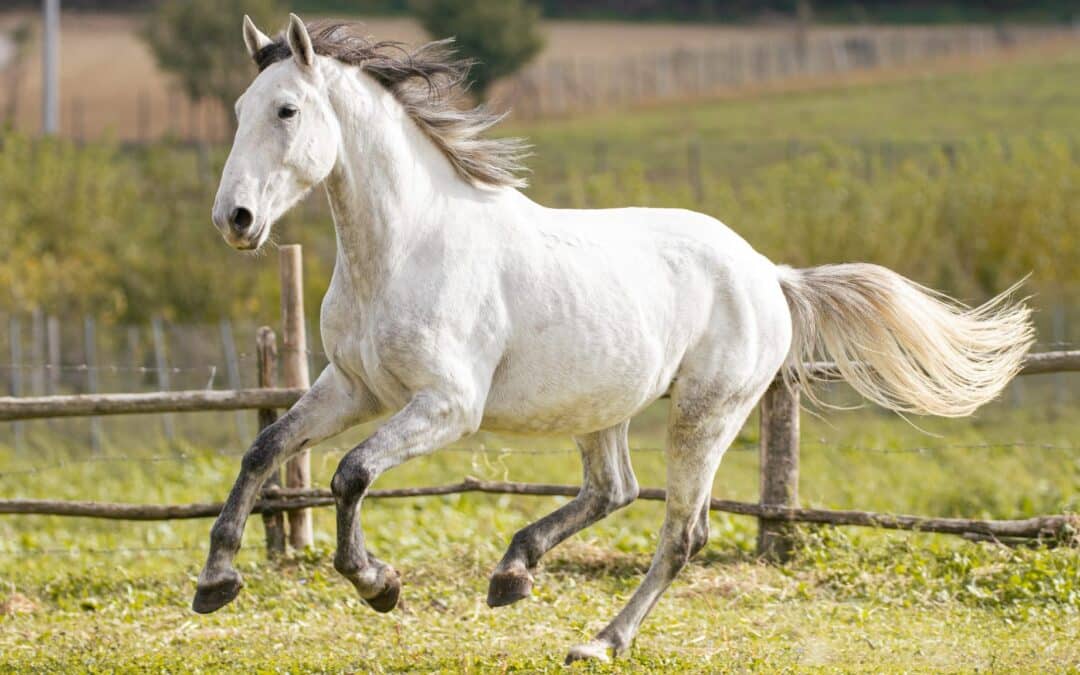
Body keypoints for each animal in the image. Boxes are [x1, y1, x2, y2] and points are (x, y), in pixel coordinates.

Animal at [196, 15, 1036, 665]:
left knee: (680, 531)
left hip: (704, 414)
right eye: (238, 108)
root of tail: (769, 273)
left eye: (287, 111)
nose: (234, 221)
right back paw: (514, 572)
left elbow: (349, 473)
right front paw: (216, 581)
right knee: (614, 489)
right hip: (602, 405)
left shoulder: (446, 406)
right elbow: (265, 450)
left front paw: (379, 584)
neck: (408, 246)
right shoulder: (353, 385)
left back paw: (599, 639)